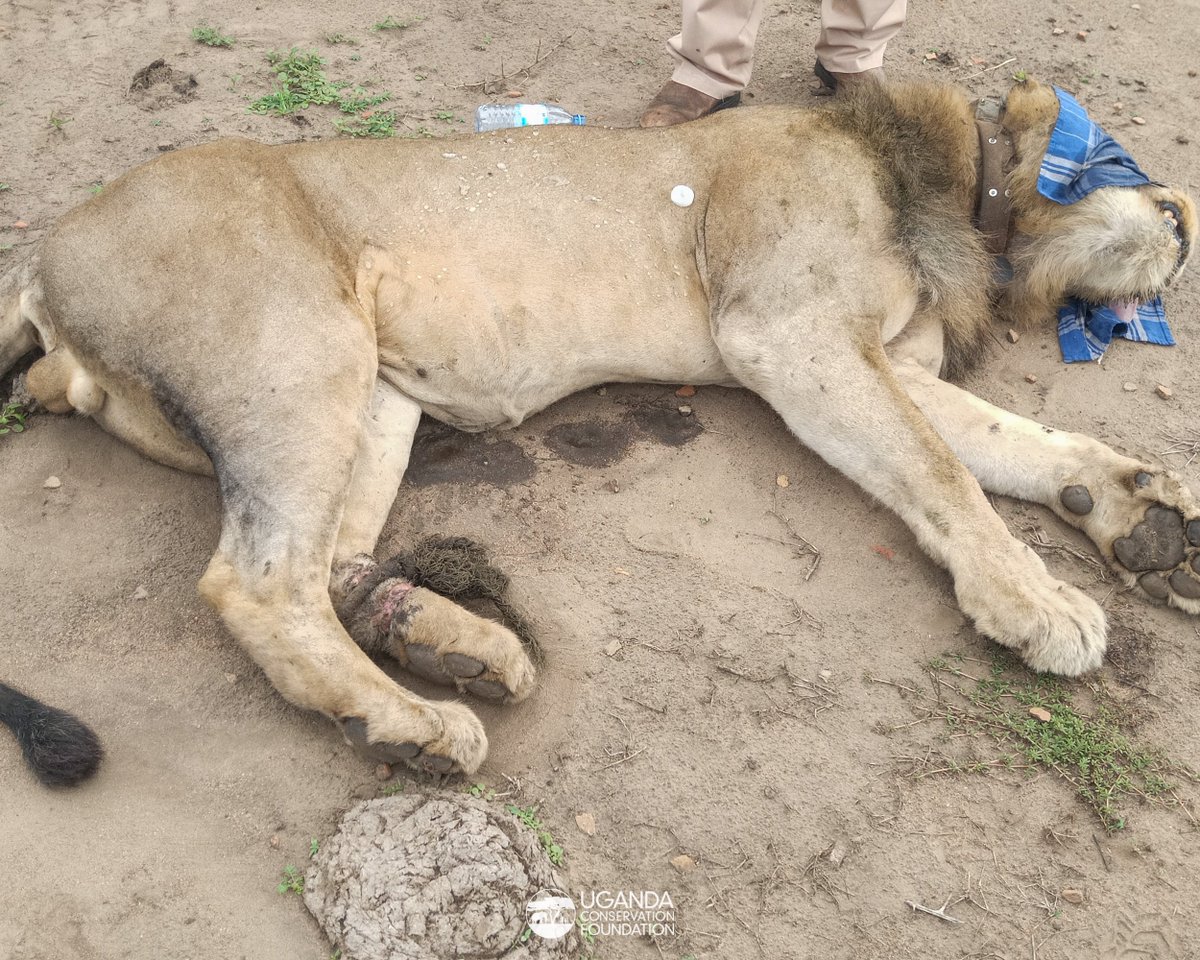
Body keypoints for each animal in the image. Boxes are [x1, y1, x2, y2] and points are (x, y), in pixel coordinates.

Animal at [2, 78, 1200, 787]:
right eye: (1123, 159)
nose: (1185, 217)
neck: (960, 194)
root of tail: (49, 254)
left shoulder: (876, 361)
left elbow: (1020, 441)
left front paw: (1144, 516)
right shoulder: (789, 335)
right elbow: (945, 473)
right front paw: (1041, 606)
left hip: (375, 395)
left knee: (333, 565)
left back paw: (456, 651)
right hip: (297, 352)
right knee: (256, 584)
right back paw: (413, 726)